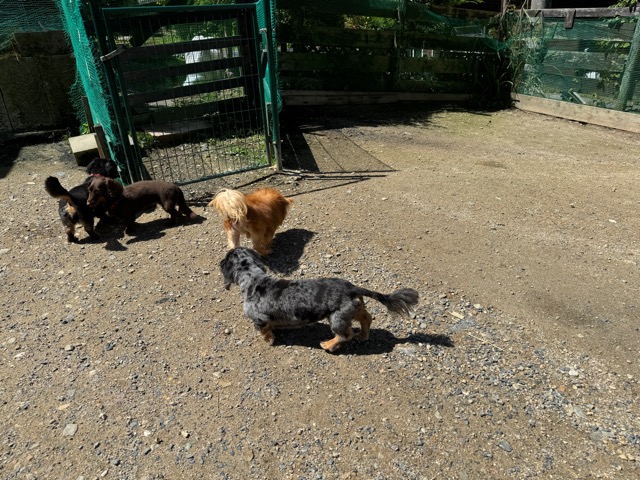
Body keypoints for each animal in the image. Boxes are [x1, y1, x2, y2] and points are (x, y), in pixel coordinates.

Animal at [220, 247, 419, 352]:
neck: (255, 280)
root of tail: (352, 288)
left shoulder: (259, 319)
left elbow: (264, 331)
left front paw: (268, 340)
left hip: (337, 318)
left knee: (345, 335)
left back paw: (328, 345)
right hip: (353, 309)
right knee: (366, 318)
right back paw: (363, 335)